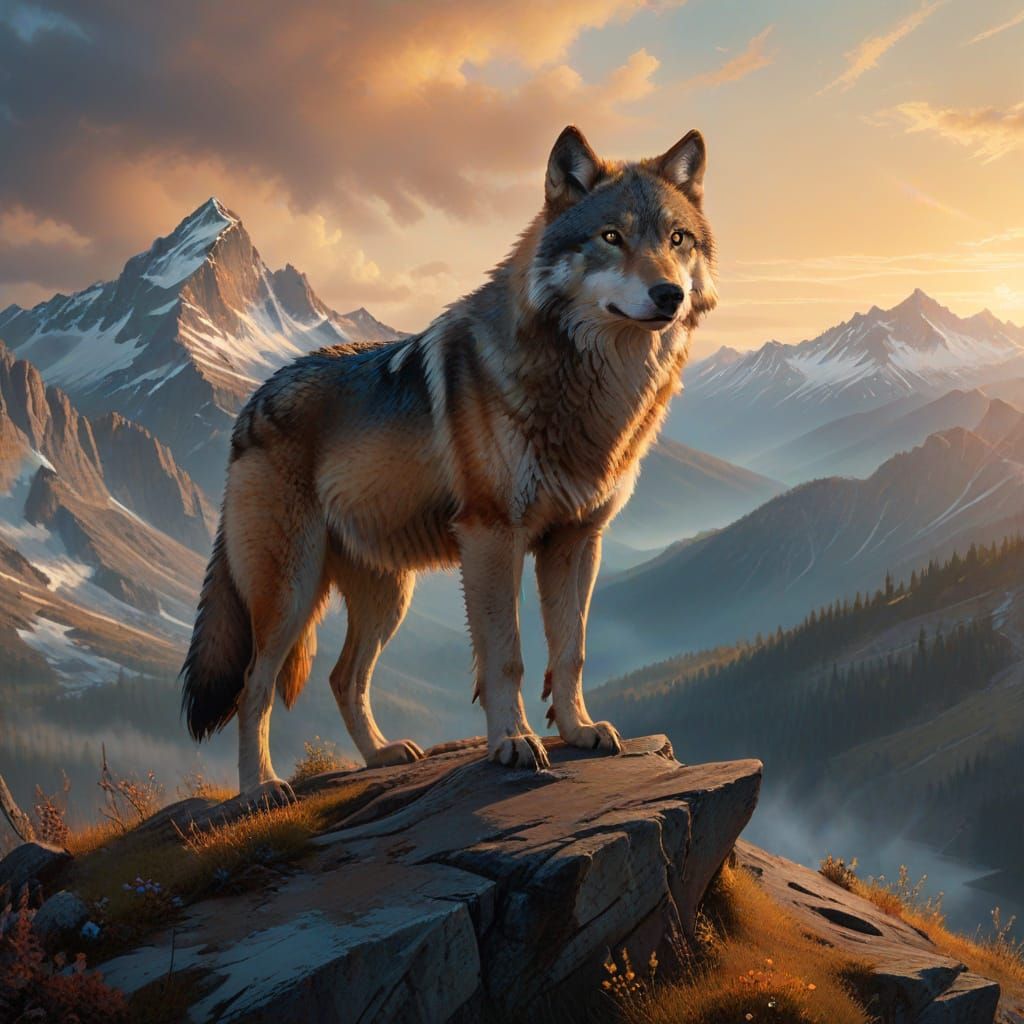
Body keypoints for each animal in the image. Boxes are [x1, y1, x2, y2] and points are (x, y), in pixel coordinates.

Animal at [181, 125, 717, 800]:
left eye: (677, 240)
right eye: (611, 237)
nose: (669, 293)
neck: (594, 388)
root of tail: (250, 404)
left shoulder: (577, 540)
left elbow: (571, 651)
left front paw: (578, 730)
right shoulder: (492, 537)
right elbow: (507, 656)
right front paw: (513, 742)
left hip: (388, 594)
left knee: (342, 677)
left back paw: (382, 755)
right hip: (291, 593)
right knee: (255, 686)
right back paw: (261, 788)